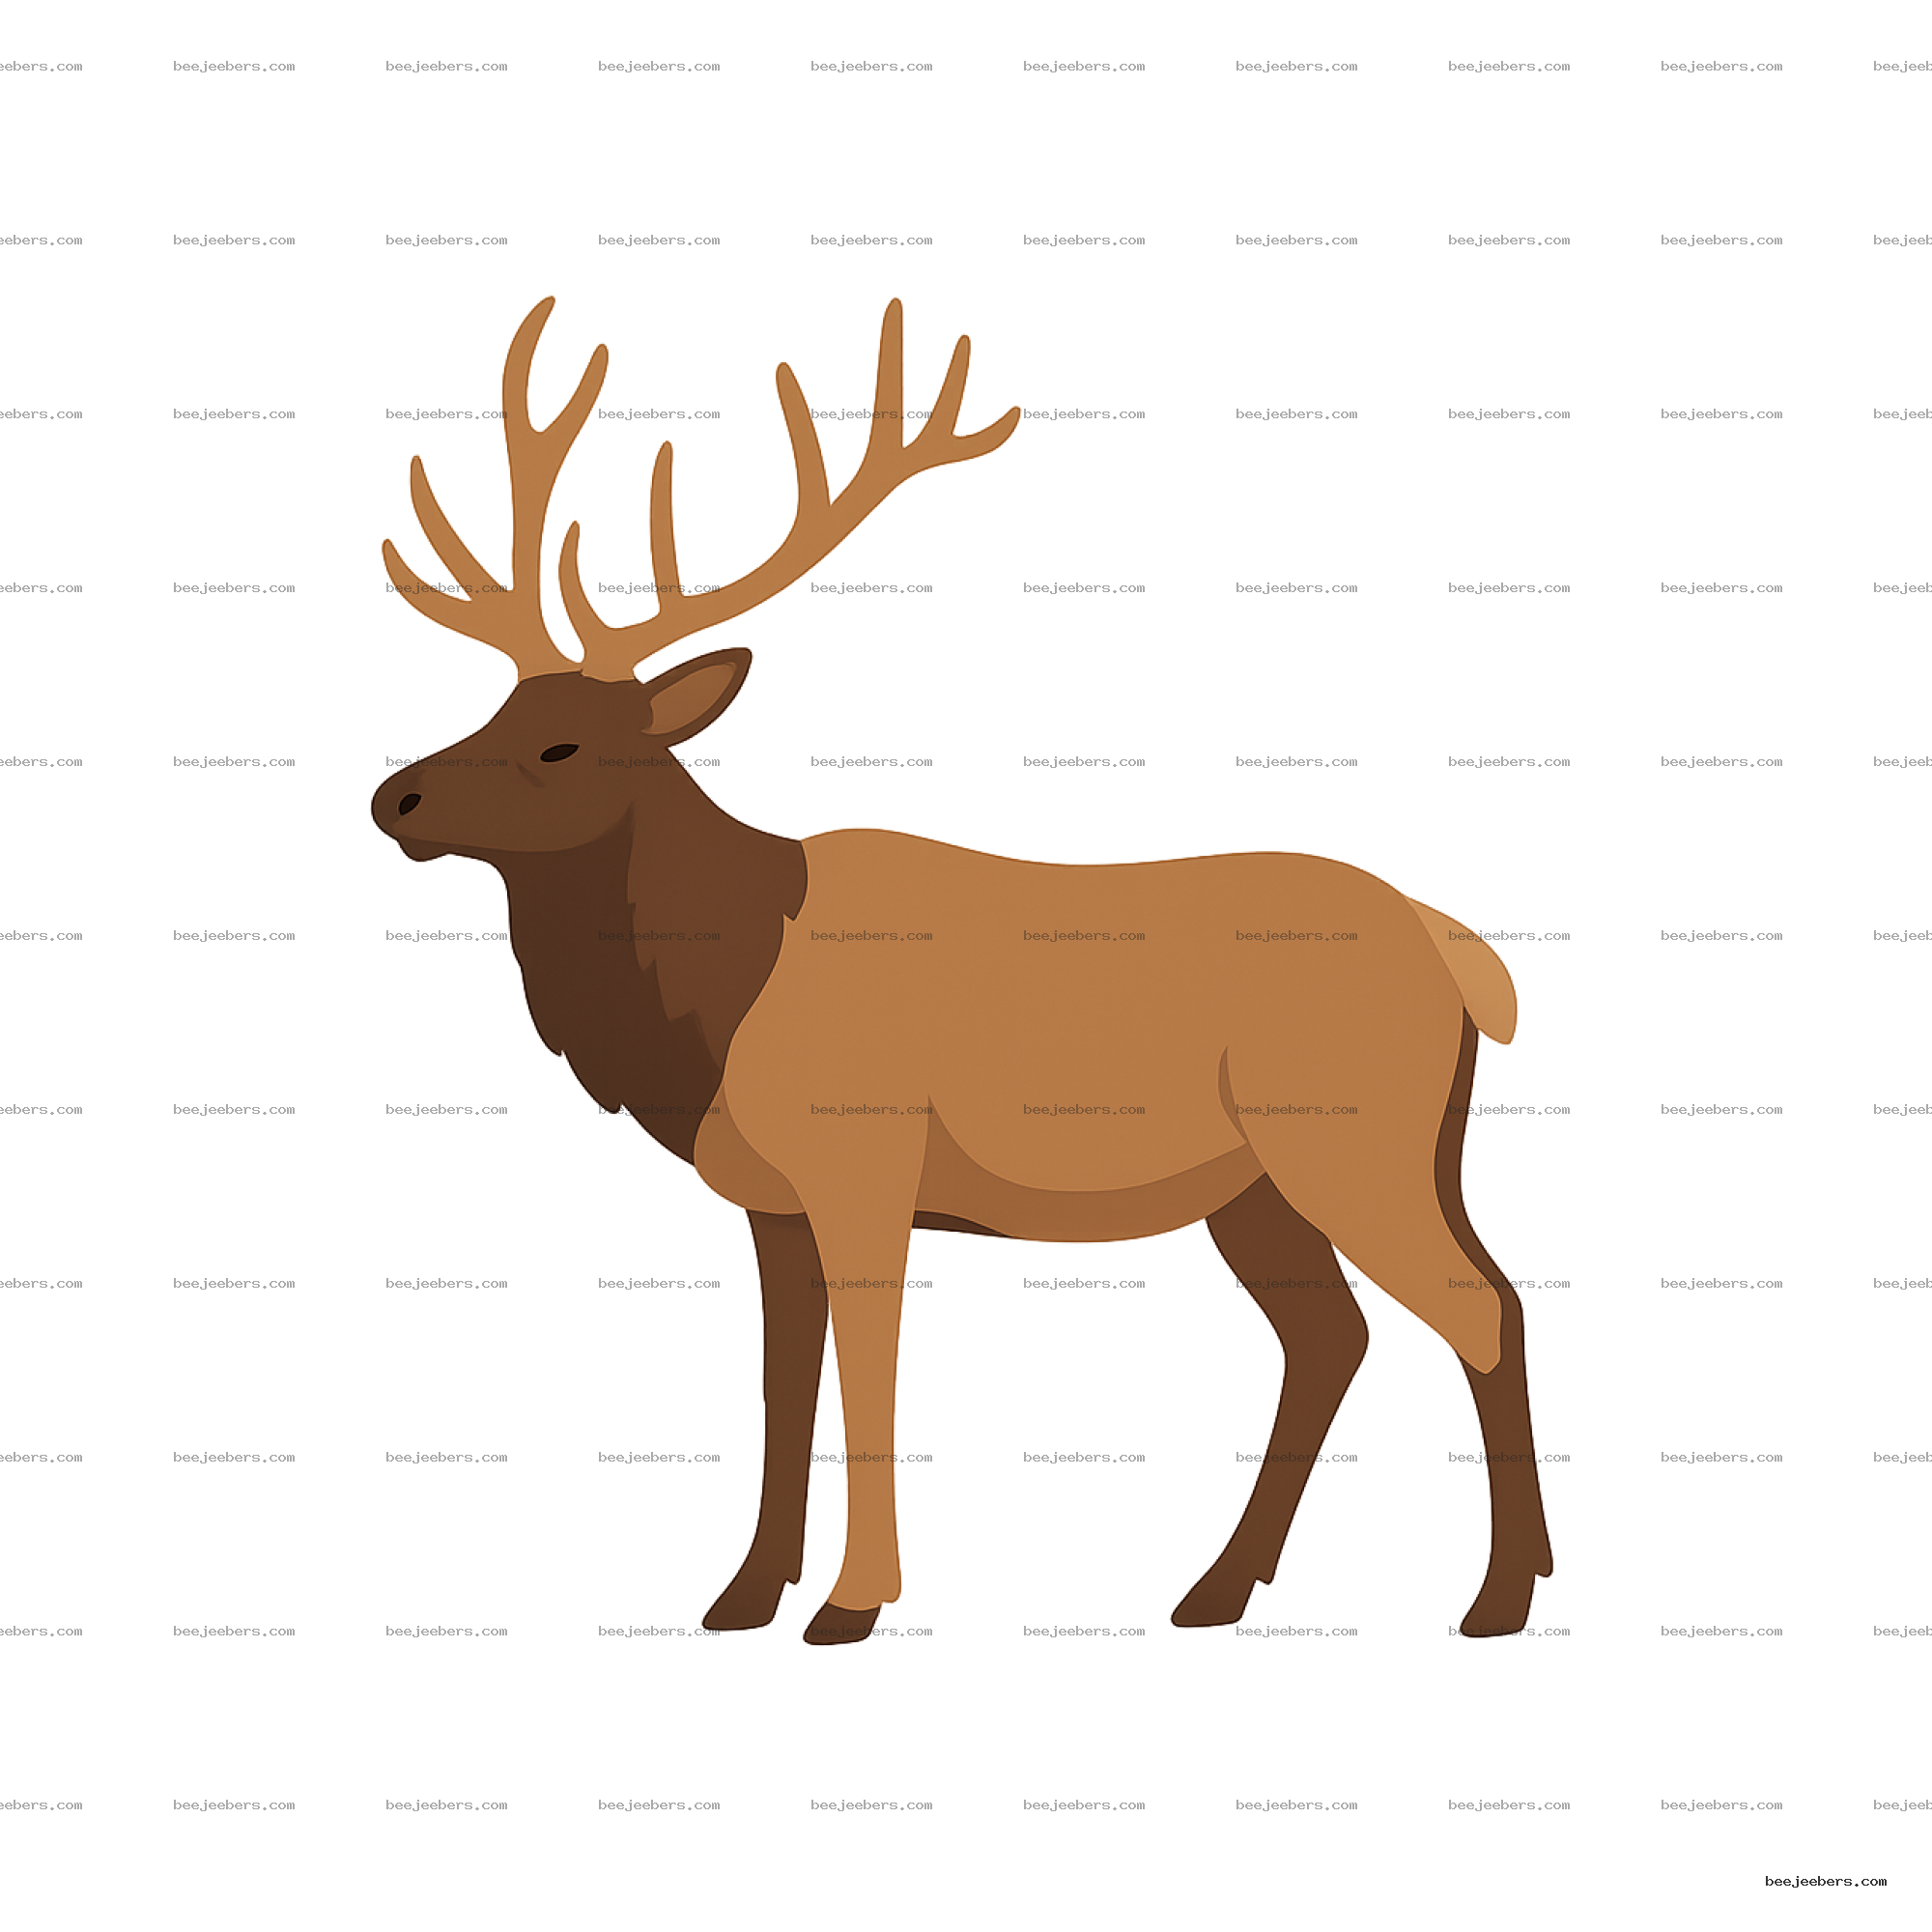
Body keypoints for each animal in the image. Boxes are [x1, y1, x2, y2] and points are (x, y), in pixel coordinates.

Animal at [370, 294, 1555, 1646]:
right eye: (496, 707)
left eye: (563, 744)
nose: (393, 797)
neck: (710, 1016)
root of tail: (1460, 956)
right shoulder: (769, 1201)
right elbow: (785, 1381)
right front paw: (741, 1595)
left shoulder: (865, 1164)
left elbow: (871, 1373)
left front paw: (851, 1602)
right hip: (1266, 1181)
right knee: (1334, 1332)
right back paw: (1213, 1588)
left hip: (1354, 1138)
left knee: (1476, 1307)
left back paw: (1496, 1597)